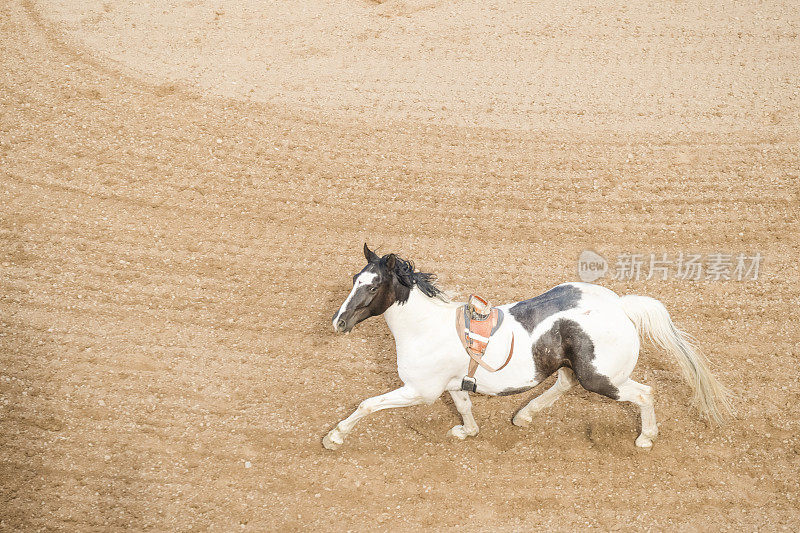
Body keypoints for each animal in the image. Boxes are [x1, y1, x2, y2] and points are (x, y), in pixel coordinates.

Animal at [324, 245, 732, 448]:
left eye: (373, 285)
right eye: (355, 278)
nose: (338, 323)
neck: (425, 329)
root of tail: (620, 305)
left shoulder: (418, 391)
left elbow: (367, 404)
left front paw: (334, 437)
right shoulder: (452, 385)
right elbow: (464, 405)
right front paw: (467, 432)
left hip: (603, 380)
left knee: (644, 393)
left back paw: (646, 438)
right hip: (574, 369)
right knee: (563, 384)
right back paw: (524, 416)